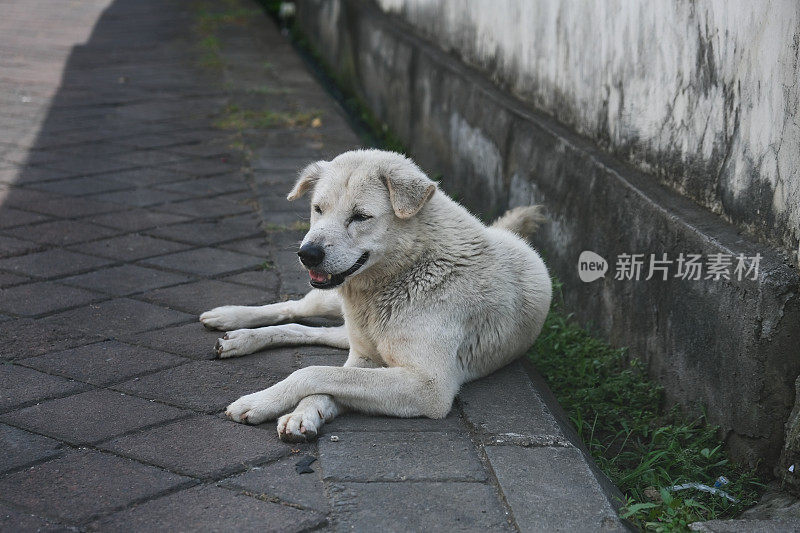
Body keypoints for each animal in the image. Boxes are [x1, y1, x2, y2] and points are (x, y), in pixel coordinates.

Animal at [199, 150, 552, 440]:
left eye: (360, 217)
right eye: (318, 209)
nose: (307, 254)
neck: (410, 267)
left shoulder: (428, 387)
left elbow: (317, 374)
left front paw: (279, 407)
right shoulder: (370, 359)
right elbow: (324, 375)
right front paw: (289, 407)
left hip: (349, 331)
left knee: (313, 332)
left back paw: (238, 338)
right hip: (332, 304)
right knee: (295, 310)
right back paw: (231, 321)